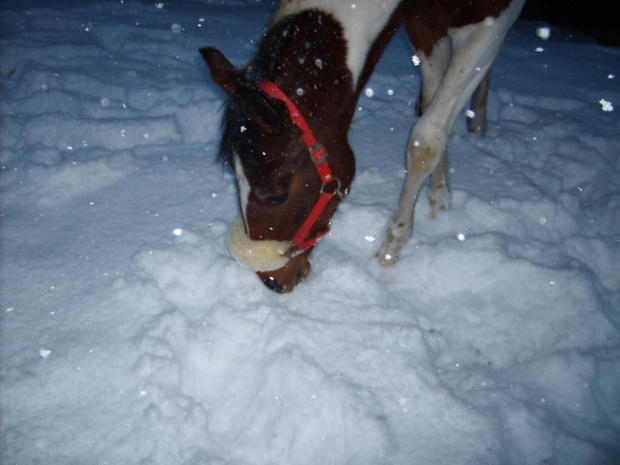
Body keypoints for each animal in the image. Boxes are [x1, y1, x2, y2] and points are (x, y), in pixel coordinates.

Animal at [201, 0, 524, 290]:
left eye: (276, 195)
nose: (272, 281)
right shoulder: (424, 26)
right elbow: (433, 106)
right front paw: (439, 198)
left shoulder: (493, 23)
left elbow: (427, 137)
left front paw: (393, 246)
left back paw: (479, 126)